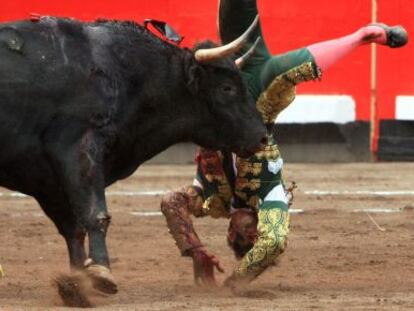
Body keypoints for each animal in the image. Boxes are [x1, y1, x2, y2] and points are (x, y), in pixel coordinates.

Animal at [0, 17, 266, 292]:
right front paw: (101, 273)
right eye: (227, 88)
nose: (262, 137)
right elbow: (94, 214)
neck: (126, 74)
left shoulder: (45, 179)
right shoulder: (79, 148)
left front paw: (77, 282)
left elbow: (73, 227)